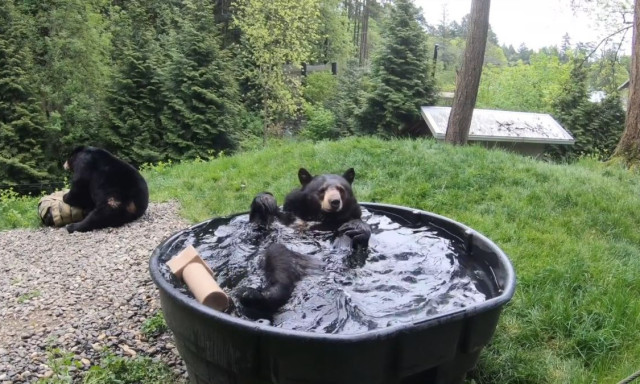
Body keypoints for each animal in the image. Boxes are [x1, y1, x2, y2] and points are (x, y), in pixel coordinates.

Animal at [238, 167, 372, 318]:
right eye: (322, 190)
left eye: (341, 189)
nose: (335, 201)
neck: (321, 217)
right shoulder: (288, 216)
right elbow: (256, 230)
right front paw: (266, 200)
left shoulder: (345, 222)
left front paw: (358, 228)